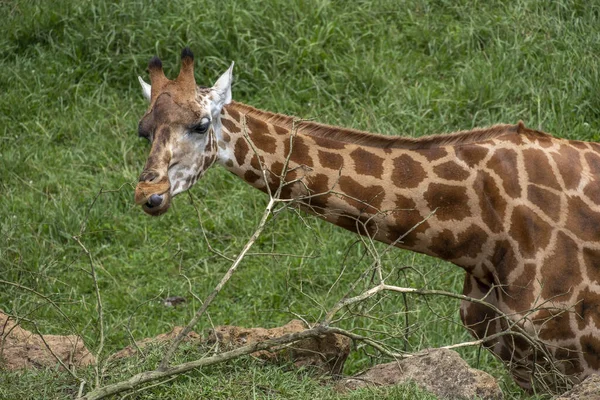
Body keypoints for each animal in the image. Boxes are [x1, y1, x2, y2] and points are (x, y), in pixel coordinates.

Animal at [135, 48, 600, 392]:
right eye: (144, 130)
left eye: (201, 125)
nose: (148, 195)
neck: (483, 232)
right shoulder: (522, 361)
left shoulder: (573, 358)